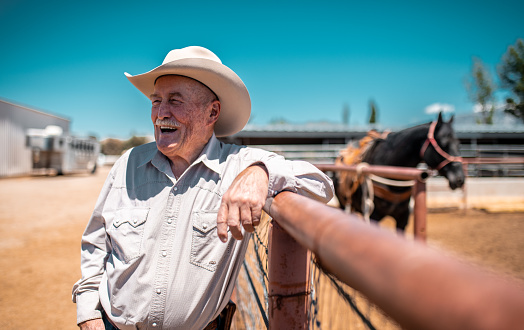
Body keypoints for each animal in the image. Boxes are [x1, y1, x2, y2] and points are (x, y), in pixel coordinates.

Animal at [334, 112, 464, 231]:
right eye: (443, 143)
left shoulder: (403, 218)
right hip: (343, 204)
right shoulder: (373, 216)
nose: (460, 178)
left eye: (458, 143)